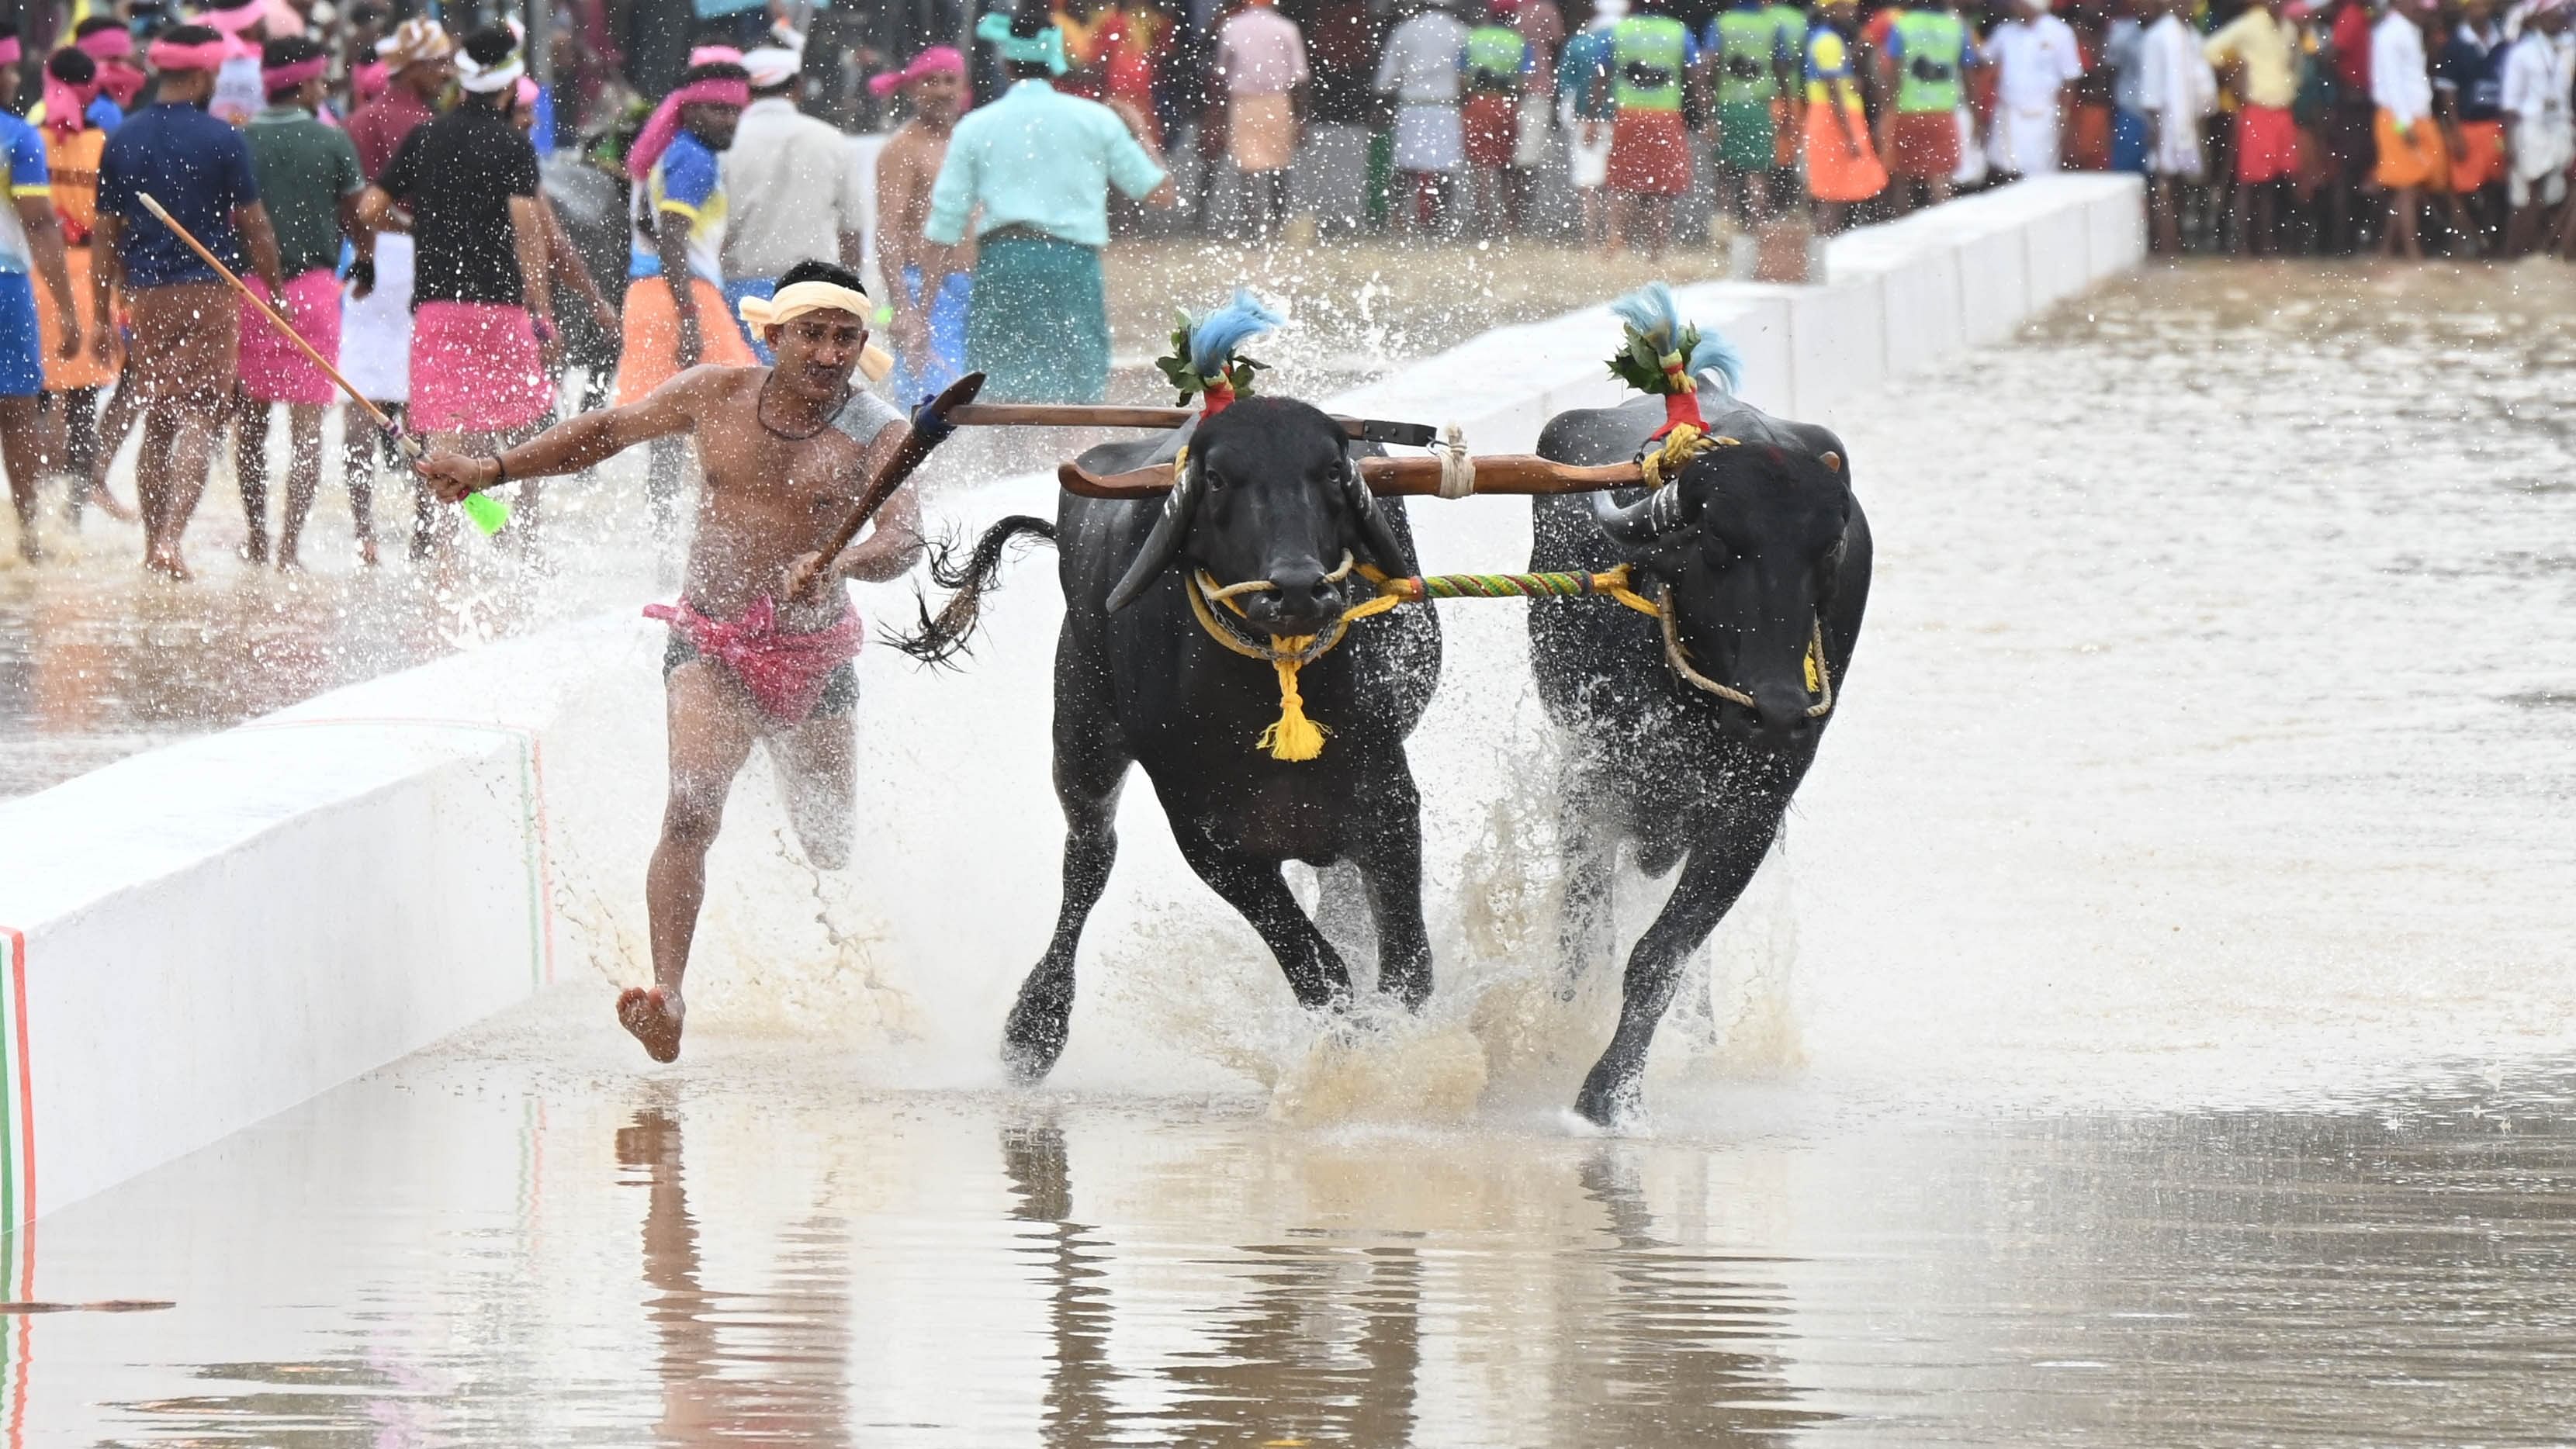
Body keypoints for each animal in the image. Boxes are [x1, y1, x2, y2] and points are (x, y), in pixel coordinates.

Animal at [906, 396, 1442, 1075]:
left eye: (1329, 471)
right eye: (1216, 479)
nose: (1297, 589)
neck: (1262, 692)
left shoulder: (1388, 807)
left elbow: (1405, 968)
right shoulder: (1209, 842)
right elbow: (1318, 971)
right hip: (1081, 744)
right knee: (1088, 860)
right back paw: (1034, 1027)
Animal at [1525, 381, 1875, 1127]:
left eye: (1828, 552)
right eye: (1718, 543)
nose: (1778, 712)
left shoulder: (1752, 812)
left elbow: (1664, 953)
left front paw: (1610, 1093)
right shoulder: (1589, 783)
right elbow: (1585, 936)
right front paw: (1561, 1036)